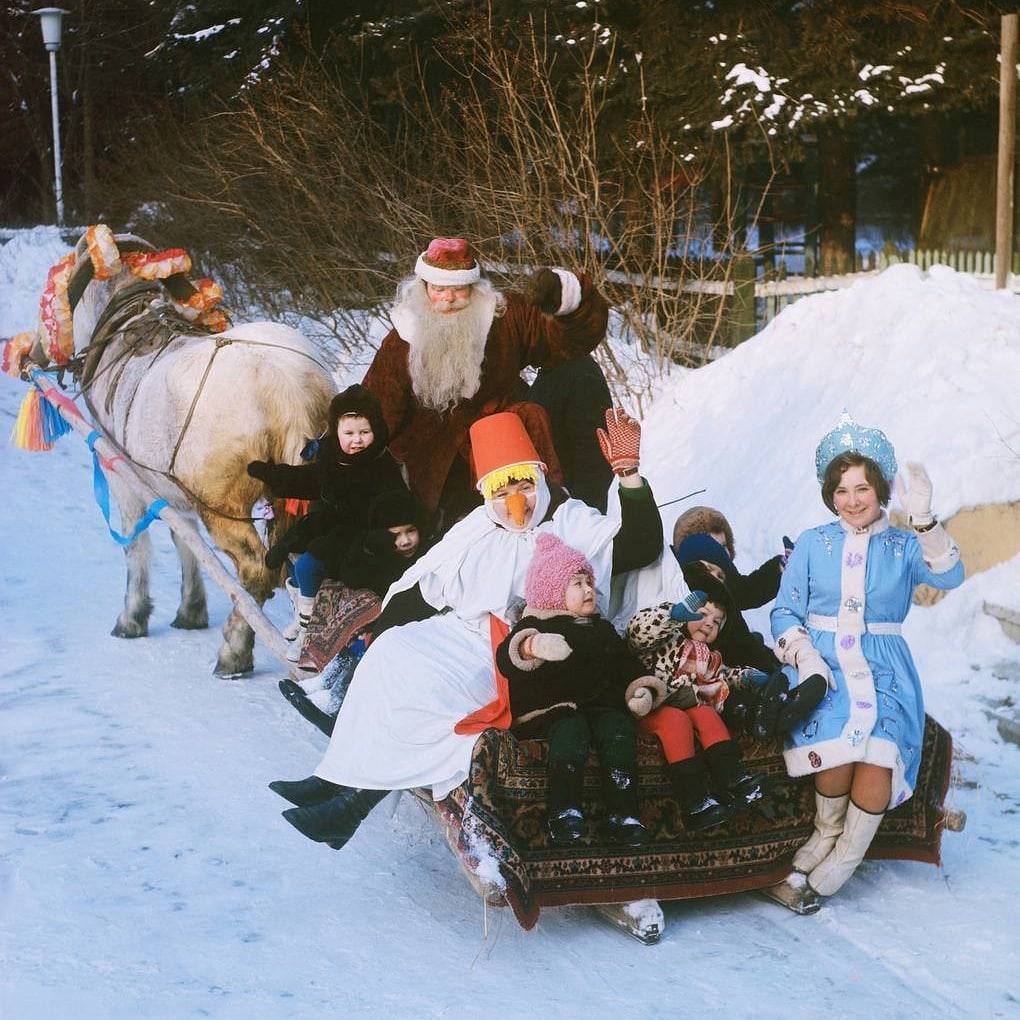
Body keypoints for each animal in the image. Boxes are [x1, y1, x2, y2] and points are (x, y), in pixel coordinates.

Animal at [21, 232, 334, 677]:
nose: (29, 354)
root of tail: (288, 389)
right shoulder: (171, 488)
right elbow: (184, 539)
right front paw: (191, 610)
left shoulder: (123, 476)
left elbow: (138, 546)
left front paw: (132, 618)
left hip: (224, 507)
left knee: (257, 571)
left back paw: (235, 650)